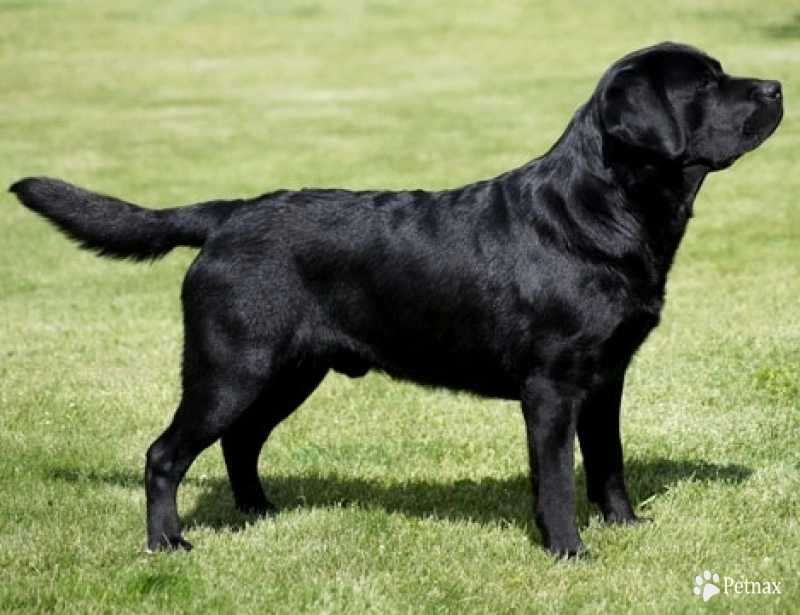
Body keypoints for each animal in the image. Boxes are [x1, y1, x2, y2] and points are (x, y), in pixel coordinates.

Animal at [10, 41, 780, 556]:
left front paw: (626, 527)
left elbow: (610, 462)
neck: (602, 205)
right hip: (230, 365)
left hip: (290, 370)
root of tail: (228, 213)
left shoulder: (606, 377)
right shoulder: (553, 385)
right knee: (166, 452)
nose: (775, 86)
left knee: (240, 440)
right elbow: (558, 478)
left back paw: (261, 511)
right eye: (705, 84)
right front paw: (569, 550)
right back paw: (167, 542)